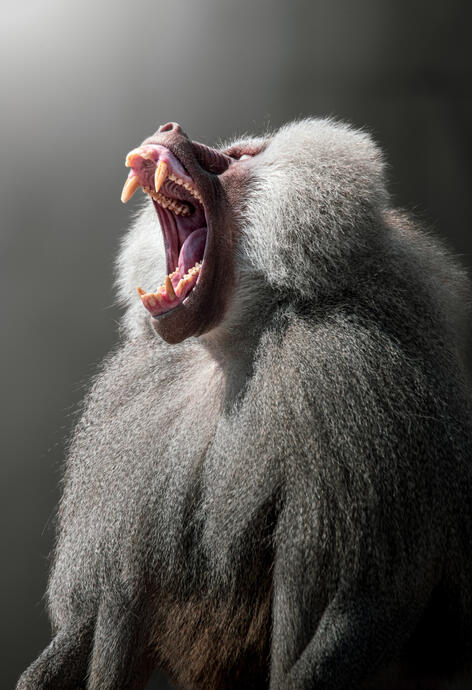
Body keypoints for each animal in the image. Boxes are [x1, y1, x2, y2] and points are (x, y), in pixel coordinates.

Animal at [18, 118, 472, 690]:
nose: (169, 127)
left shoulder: (350, 373)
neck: (232, 345)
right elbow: (94, 614)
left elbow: (373, 600)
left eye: (234, 158)